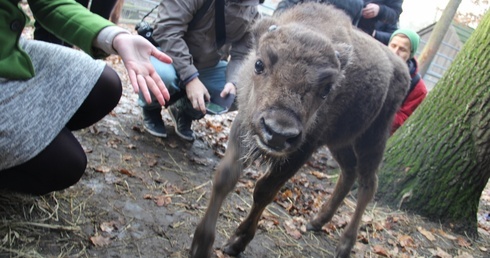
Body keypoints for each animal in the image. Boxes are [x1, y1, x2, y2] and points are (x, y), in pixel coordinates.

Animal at [190, 2, 410, 258]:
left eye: (327, 89)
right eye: (259, 64)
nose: (278, 132)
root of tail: (401, 68)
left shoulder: (302, 149)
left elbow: (264, 191)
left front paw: (237, 242)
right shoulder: (244, 126)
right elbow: (225, 177)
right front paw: (201, 244)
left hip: (373, 137)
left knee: (368, 183)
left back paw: (345, 245)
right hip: (340, 142)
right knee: (349, 172)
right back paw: (317, 221)